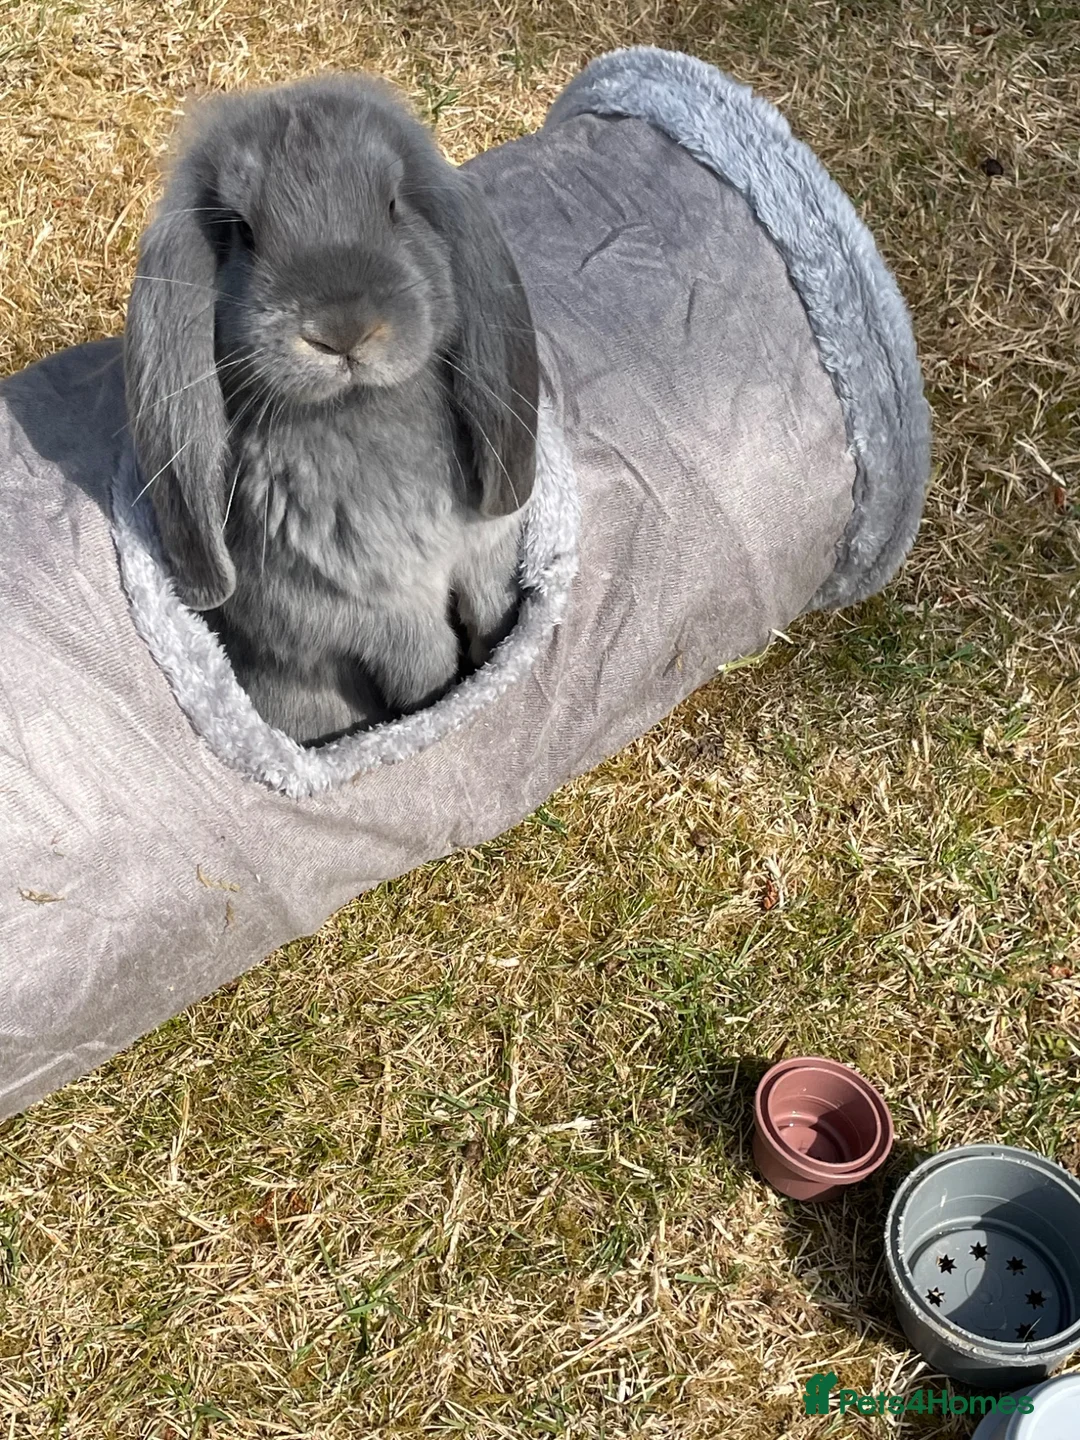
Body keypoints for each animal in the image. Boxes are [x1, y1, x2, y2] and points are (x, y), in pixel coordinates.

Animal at [123, 72, 539, 745]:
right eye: (240, 231)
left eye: (394, 205)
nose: (342, 330)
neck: (360, 413)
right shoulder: (385, 620)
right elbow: (426, 672)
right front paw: (442, 707)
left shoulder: (487, 558)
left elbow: (493, 616)